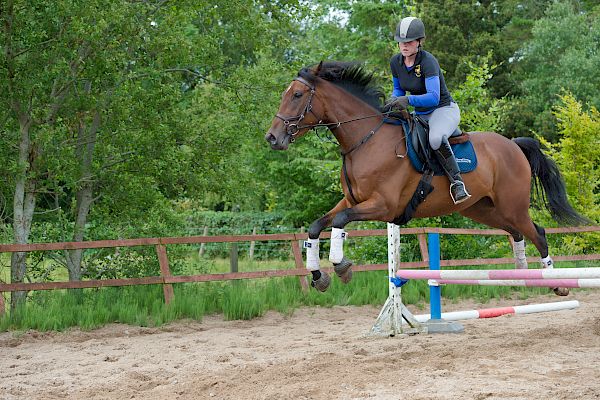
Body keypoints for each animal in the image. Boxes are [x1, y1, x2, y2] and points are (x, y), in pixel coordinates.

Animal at [264, 61, 588, 294]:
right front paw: (319, 277)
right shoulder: (352, 201)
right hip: (483, 209)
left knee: (539, 234)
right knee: (517, 233)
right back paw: (523, 274)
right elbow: (317, 225)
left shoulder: (383, 205)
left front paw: (341, 266)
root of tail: (514, 145)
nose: (272, 138)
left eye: (297, 95)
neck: (365, 140)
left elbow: (341, 223)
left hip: (512, 206)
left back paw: (556, 283)